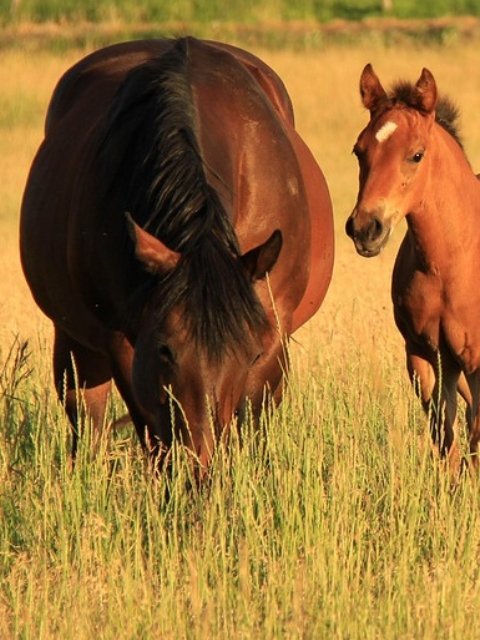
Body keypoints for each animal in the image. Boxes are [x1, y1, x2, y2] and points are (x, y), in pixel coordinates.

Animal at [20, 37, 334, 474]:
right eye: (166, 349)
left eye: (249, 352)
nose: (201, 464)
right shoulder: (127, 344)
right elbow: (153, 432)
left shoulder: (272, 333)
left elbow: (250, 430)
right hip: (73, 339)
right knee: (87, 420)